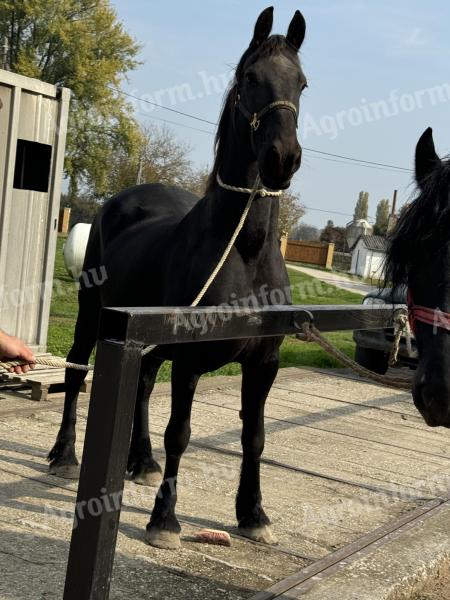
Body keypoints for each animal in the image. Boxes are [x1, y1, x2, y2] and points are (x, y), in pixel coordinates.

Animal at [49, 5, 308, 548]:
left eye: (302, 83)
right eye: (250, 78)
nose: (283, 158)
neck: (245, 253)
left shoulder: (264, 363)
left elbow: (255, 436)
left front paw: (253, 514)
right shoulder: (189, 360)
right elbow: (180, 434)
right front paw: (164, 520)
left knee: (145, 382)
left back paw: (141, 461)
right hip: (92, 315)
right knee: (77, 370)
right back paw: (64, 456)